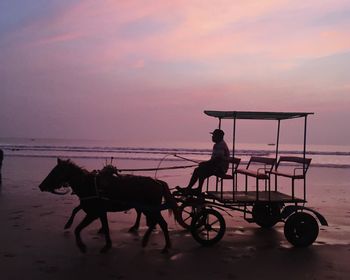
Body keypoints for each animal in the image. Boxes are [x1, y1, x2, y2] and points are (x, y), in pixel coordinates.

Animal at [39, 159, 179, 253]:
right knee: (156, 222)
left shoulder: (94, 213)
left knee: (161, 223)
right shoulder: (100, 212)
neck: (89, 185)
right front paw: (107, 245)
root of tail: (158, 182)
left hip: (150, 209)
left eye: (55, 172)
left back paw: (163, 246)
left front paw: (82, 246)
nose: (41, 186)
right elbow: (104, 227)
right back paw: (146, 239)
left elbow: (78, 229)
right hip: (148, 209)